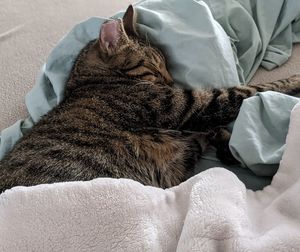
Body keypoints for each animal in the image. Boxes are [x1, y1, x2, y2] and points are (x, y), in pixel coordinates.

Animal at [0, 4, 300, 193]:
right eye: (155, 69)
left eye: (168, 65)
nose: (171, 81)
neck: (91, 80)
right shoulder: (189, 105)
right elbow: (247, 90)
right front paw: (294, 79)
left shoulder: (182, 150)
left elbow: (206, 132)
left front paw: (225, 145)